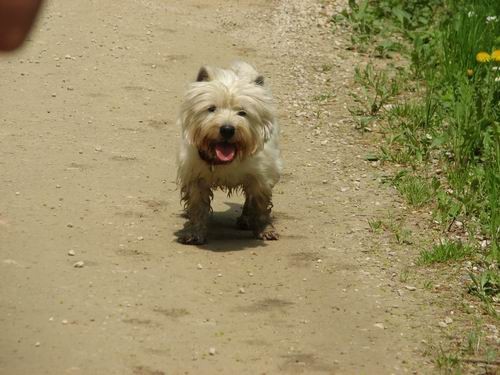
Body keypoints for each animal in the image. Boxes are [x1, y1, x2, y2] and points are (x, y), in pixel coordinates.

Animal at [177, 61, 282, 247]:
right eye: (211, 108)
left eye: (242, 112)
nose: (227, 129)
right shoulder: (194, 177)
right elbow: (197, 207)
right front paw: (194, 232)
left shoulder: (261, 177)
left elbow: (260, 205)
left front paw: (264, 229)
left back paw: (246, 220)